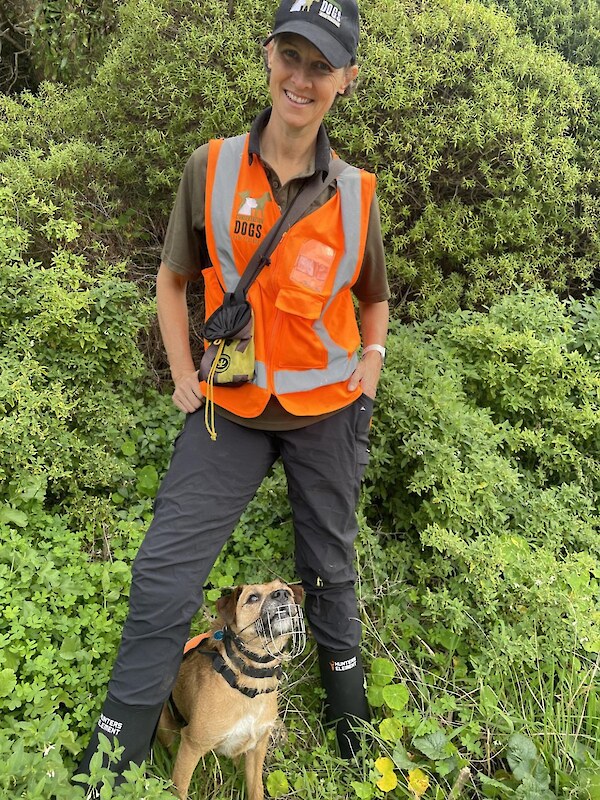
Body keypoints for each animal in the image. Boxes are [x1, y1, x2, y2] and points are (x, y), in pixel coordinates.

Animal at [157, 580, 304, 800]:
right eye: (253, 598)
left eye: (286, 591)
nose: (282, 594)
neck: (250, 680)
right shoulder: (192, 746)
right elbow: (179, 790)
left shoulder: (257, 749)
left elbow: (256, 790)